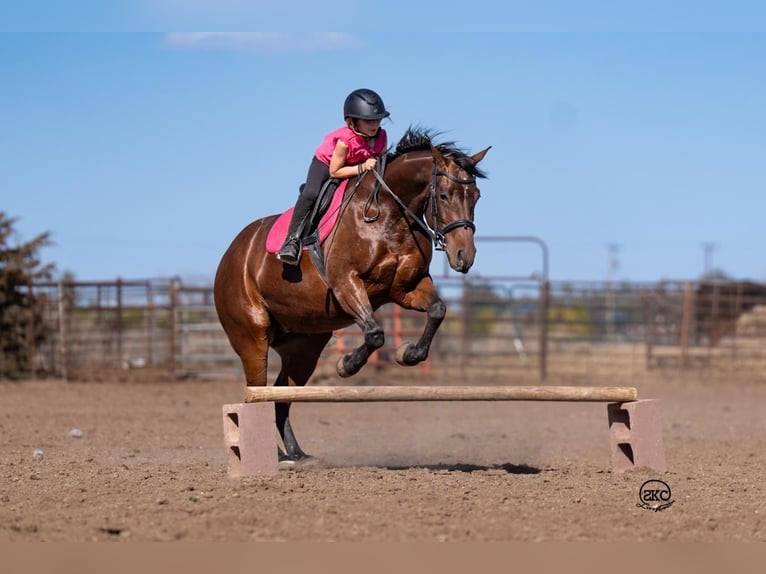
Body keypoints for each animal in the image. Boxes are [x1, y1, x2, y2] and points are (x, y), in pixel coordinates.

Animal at [216, 128, 492, 466]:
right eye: (443, 196)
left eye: (476, 197)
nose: (464, 256)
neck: (388, 216)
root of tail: (231, 254)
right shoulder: (346, 283)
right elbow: (374, 334)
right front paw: (346, 364)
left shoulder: (405, 288)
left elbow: (437, 310)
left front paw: (408, 354)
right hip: (252, 337)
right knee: (259, 393)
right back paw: (271, 455)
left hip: (304, 346)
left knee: (282, 395)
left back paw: (296, 454)